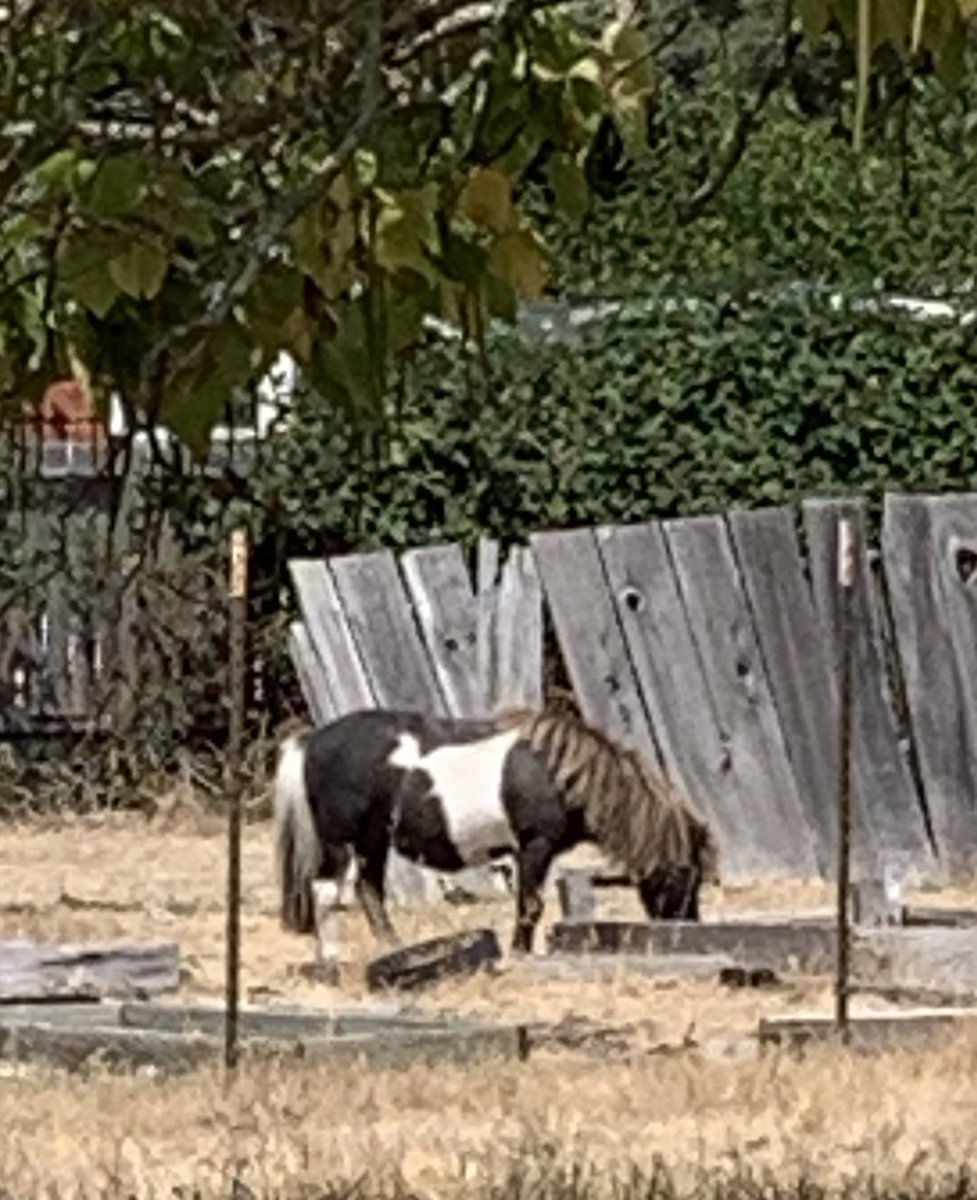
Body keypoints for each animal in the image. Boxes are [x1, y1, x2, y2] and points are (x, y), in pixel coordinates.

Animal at [272, 704, 720, 958]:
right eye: (684, 876)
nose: (688, 931)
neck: (561, 774)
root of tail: (313, 739)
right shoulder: (534, 846)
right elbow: (531, 904)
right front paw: (519, 953)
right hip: (342, 843)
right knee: (326, 894)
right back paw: (331, 959)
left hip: (372, 841)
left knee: (369, 892)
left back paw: (391, 946)